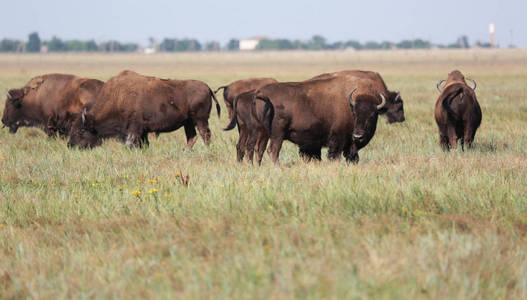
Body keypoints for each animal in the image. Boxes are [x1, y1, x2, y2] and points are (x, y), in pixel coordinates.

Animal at [68, 70, 221, 150]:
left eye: (81, 131)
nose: (70, 145)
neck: (118, 98)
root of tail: (207, 87)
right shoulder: (143, 131)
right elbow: (143, 143)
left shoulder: (134, 128)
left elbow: (131, 143)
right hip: (188, 122)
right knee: (192, 137)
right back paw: (185, 151)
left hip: (200, 119)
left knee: (205, 134)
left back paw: (206, 150)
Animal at [252, 75, 388, 164]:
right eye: (354, 113)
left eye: (372, 115)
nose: (358, 136)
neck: (350, 103)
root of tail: (261, 93)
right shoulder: (337, 139)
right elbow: (334, 155)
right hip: (277, 134)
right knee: (273, 150)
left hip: (263, 132)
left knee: (259, 150)